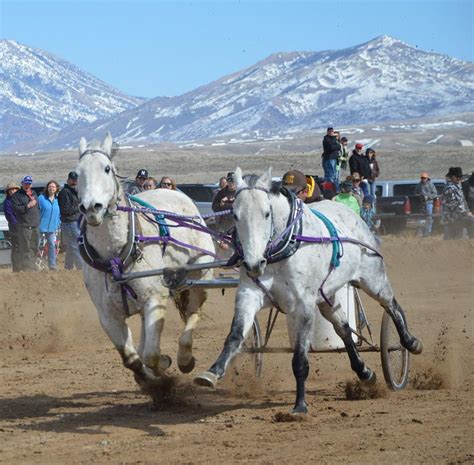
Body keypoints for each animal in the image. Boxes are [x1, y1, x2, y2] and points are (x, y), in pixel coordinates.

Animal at [76, 132, 215, 386]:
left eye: (107, 168)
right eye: (76, 173)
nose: (92, 207)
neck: (115, 258)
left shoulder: (154, 299)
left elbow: (151, 355)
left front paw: (162, 372)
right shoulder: (108, 316)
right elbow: (131, 359)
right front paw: (147, 379)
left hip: (201, 276)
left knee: (193, 314)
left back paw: (184, 358)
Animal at [194, 168, 424, 414]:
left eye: (266, 213)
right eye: (235, 215)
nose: (253, 263)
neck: (283, 249)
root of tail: (352, 214)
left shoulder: (303, 305)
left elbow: (300, 360)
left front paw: (300, 406)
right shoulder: (249, 295)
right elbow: (235, 335)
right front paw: (212, 372)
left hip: (373, 278)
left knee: (392, 306)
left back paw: (410, 344)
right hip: (327, 297)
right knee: (344, 329)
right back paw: (364, 372)